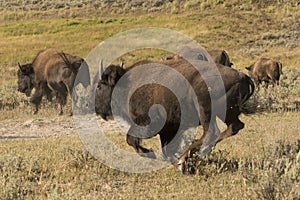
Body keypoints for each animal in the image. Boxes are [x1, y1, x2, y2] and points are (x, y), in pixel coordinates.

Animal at [95, 55, 254, 171]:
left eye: (99, 86)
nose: (96, 108)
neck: (126, 83)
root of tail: (243, 76)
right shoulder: (168, 128)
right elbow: (166, 147)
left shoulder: (150, 123)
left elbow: (131, 139)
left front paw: (151, 153)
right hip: (228, 114)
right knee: (234, 127)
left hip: (205, 110)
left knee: (211, 132)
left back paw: (184, 159)